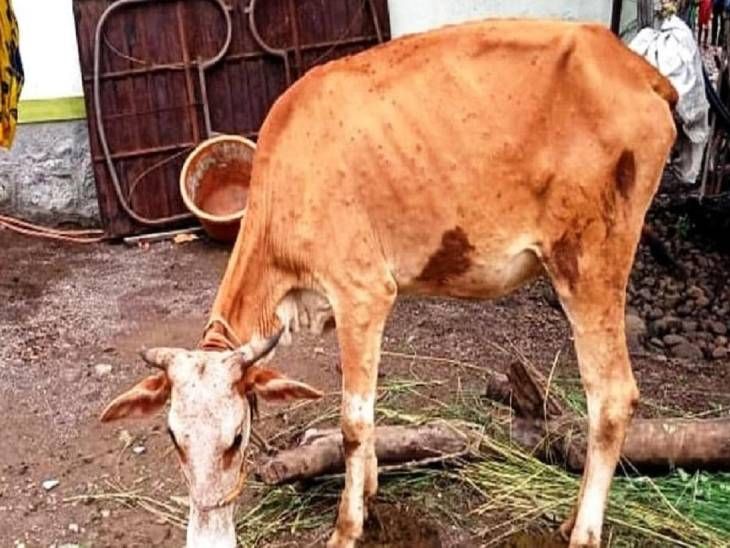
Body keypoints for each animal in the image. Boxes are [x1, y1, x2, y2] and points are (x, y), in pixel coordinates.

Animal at [100, 19, 677, 548]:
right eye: (172, 436)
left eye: (237, 437)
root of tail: (634, 66)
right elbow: (367, 405)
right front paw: (372, 490)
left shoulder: (363, 291)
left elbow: (352, 421)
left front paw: (347, 527)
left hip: (590, 262)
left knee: (611, 396)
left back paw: (583, 532)